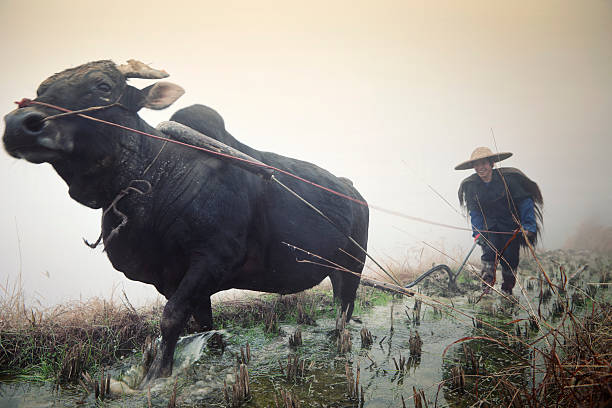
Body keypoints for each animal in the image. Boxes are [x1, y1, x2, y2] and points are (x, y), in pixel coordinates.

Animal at [2, 59, 368, 382]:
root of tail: (353, 190)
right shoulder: (172, 278)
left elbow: (171, 318)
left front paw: (157, 374)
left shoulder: (212, 259)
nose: (19, 124)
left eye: (102, 86)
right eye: (41, 89)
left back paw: (340, 342)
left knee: (343, 307)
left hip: (352, 266)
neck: (156, 178)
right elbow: (202, 324)